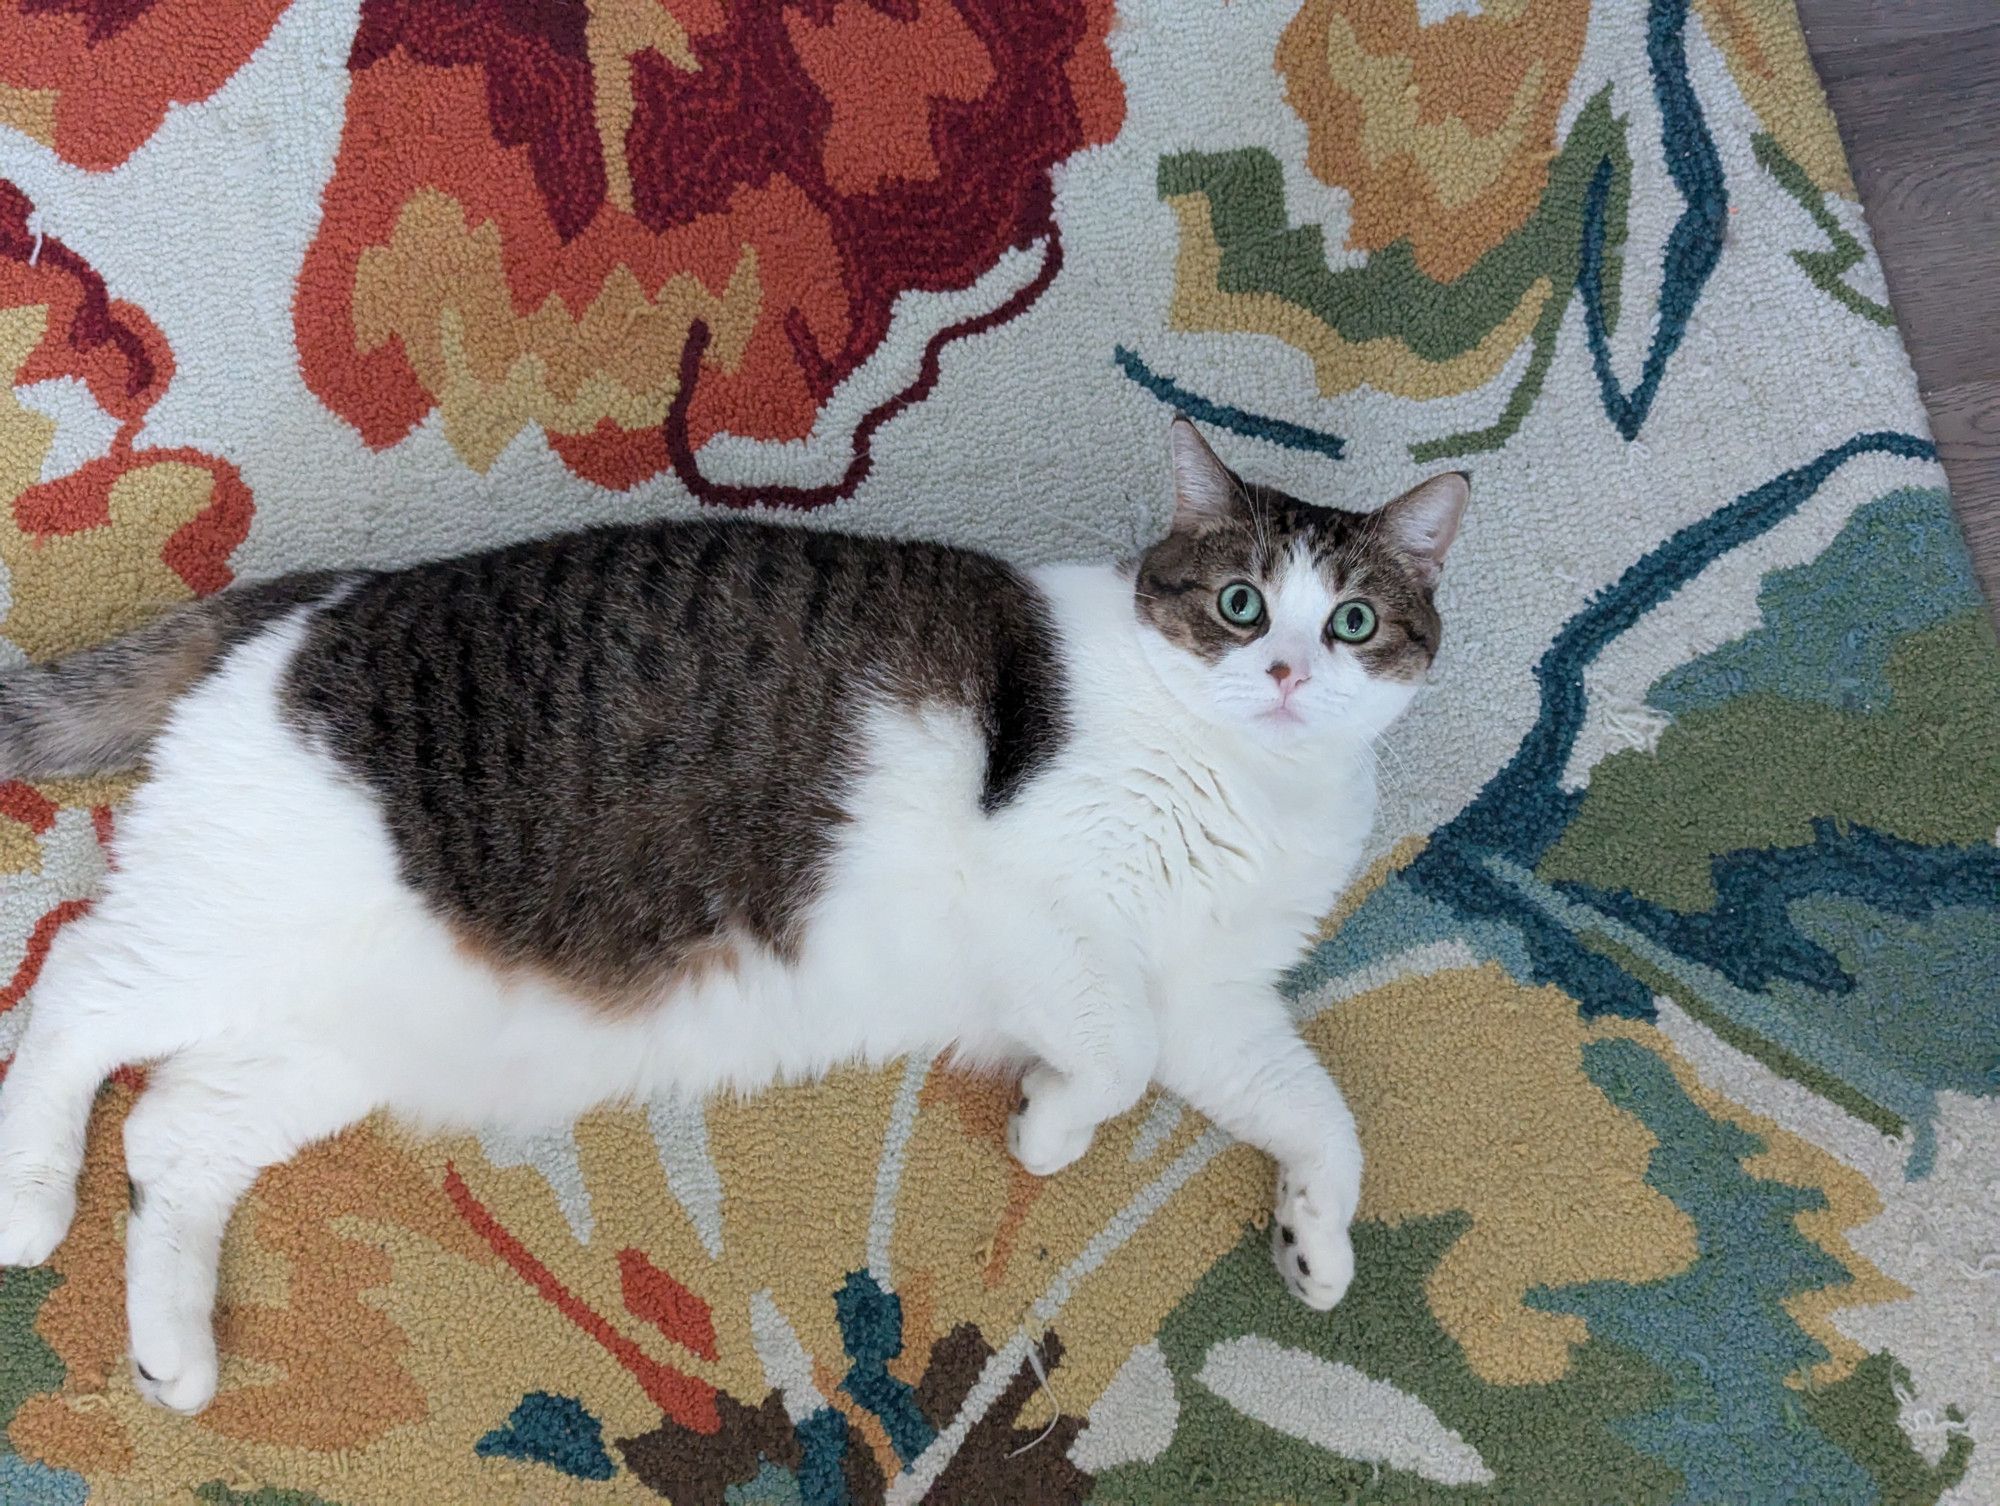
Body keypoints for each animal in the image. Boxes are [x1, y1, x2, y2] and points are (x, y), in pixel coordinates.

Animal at [0, 420, 1472, 1408]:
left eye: (1352, 622)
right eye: (1238, 604)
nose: (1286, 673)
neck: (1256, 783)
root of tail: (307, 595)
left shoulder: (1214, 1005)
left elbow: (1317, 1114)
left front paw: (1312, 1242)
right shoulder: (1045, 913)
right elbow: (1110, 1063)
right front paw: (1047, 1132)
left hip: (341, 1030)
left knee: (178, 1133)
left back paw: (175, 1353)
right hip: (236, 927)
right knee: (77, 987)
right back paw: (29, 1198)